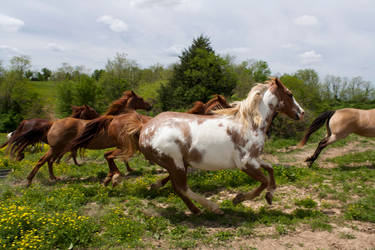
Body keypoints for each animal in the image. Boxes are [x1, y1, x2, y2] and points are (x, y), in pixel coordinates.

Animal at [69, 94, 232, 187]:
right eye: (226, 105)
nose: (149, 105)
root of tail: (113, 119)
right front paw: (157, 184)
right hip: (125, 146)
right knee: (109, 155)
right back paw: (114, 177)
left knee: (108, 155)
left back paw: (111, 178)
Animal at [123, 78, 306, 215]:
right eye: (290, 94)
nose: (302, 113)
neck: (250, 125)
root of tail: (144, 128)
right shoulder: (246, 163)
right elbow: (263, 181)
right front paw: (238, 199)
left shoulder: (255, 159)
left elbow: (270, 169)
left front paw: (270, 196)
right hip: (175, 163)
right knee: (182, 188)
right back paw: (214, 208)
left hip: (177, 165)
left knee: (177, 188)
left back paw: (195, 210)